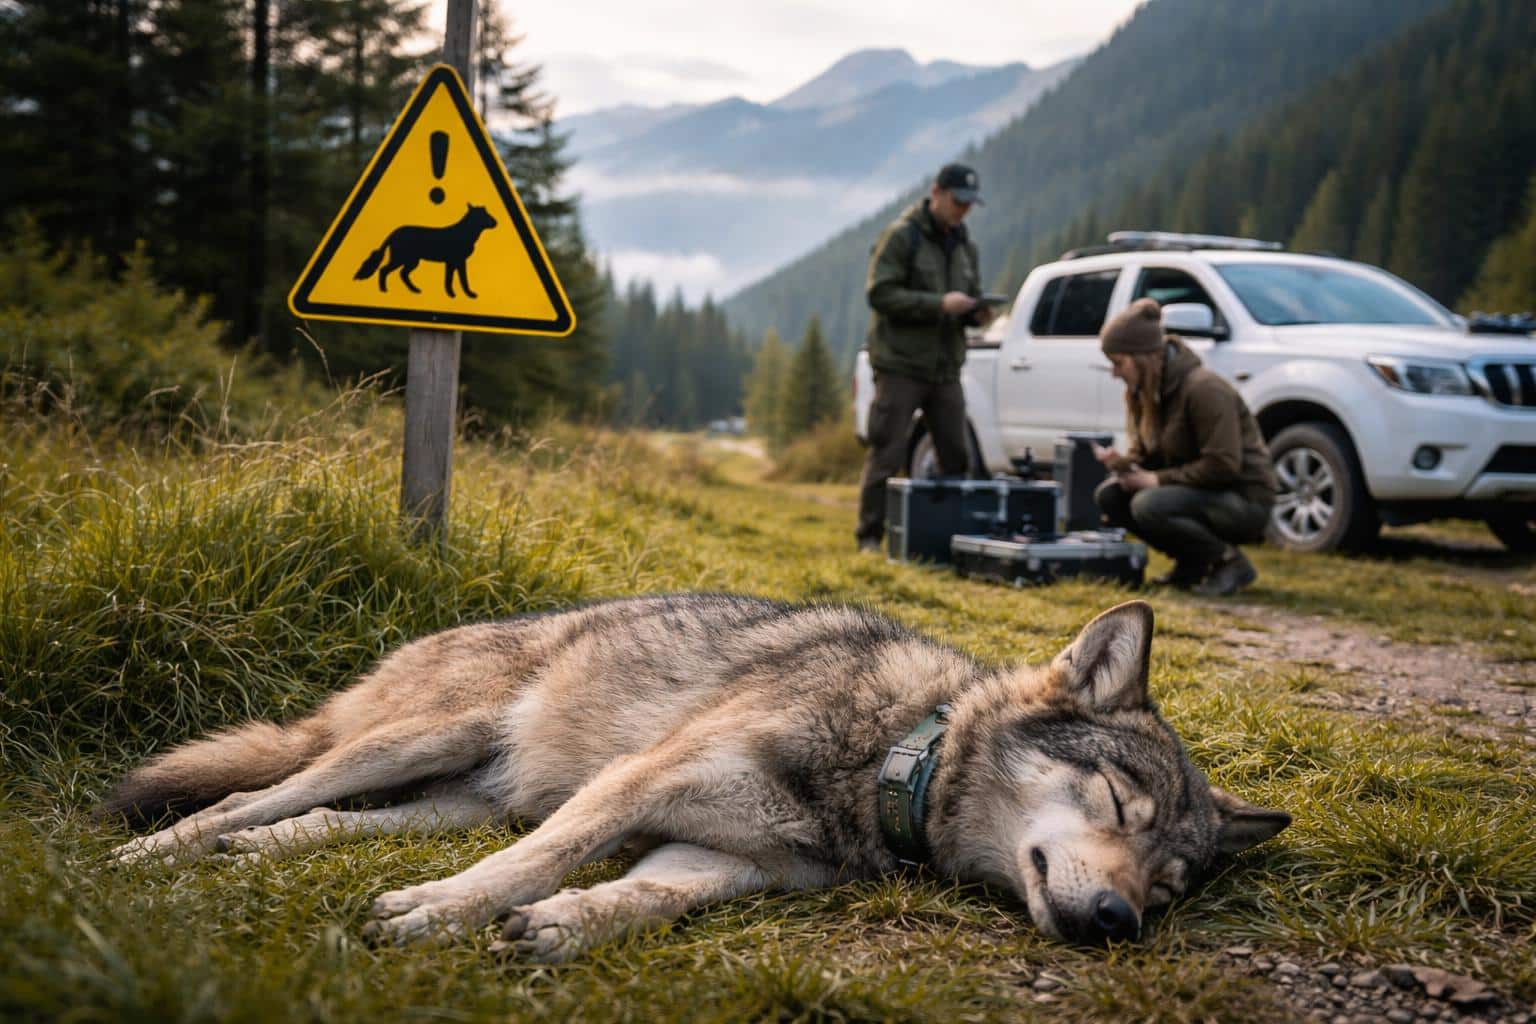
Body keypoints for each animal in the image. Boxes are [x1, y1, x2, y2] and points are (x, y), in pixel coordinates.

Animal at [101, 594, 1289, 961]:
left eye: (1167, 889)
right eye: (1118, 805)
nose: (1117, 922)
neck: (890, 758)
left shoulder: (727, 860)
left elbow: (640, 899)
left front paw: (564, 926)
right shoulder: (634, 787)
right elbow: (530, 865)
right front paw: (441, 916)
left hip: (447, 801)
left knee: (318, 825)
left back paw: (248, 858)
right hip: (414, 743)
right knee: (253, 792)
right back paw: (151, 854)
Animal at [353, 203, 496, 299]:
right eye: (483, 215)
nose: (496, 222)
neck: (465, 232)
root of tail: (393, 233)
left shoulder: (455, 262)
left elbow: (456, 278)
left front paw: (456, 294)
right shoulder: (455, 261)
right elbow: (457, 278)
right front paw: (458, 294)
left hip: (411, 261)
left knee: (402, 274)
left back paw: (414, 290)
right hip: (401, 258)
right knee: (384, 270)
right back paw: (384, 290)